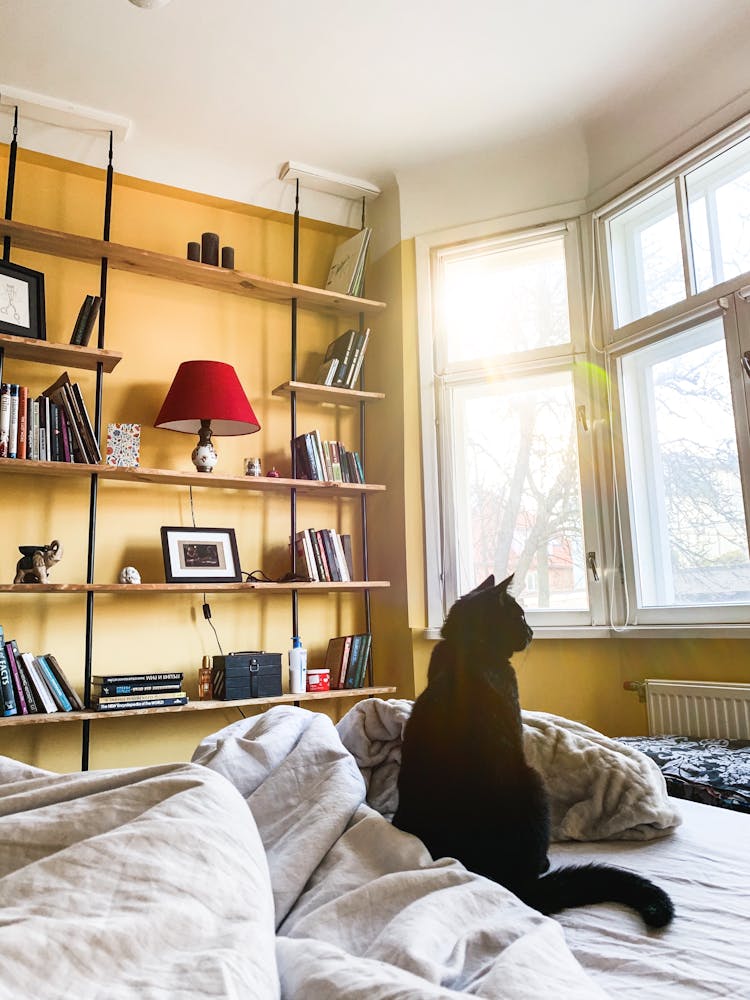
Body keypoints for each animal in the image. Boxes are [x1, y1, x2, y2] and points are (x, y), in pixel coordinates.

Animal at [394, 580, 676, 928]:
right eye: (519, 616)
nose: (531, 631)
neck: (468, 649)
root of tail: (505, 881)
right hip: (535, 783)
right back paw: (543, 864)